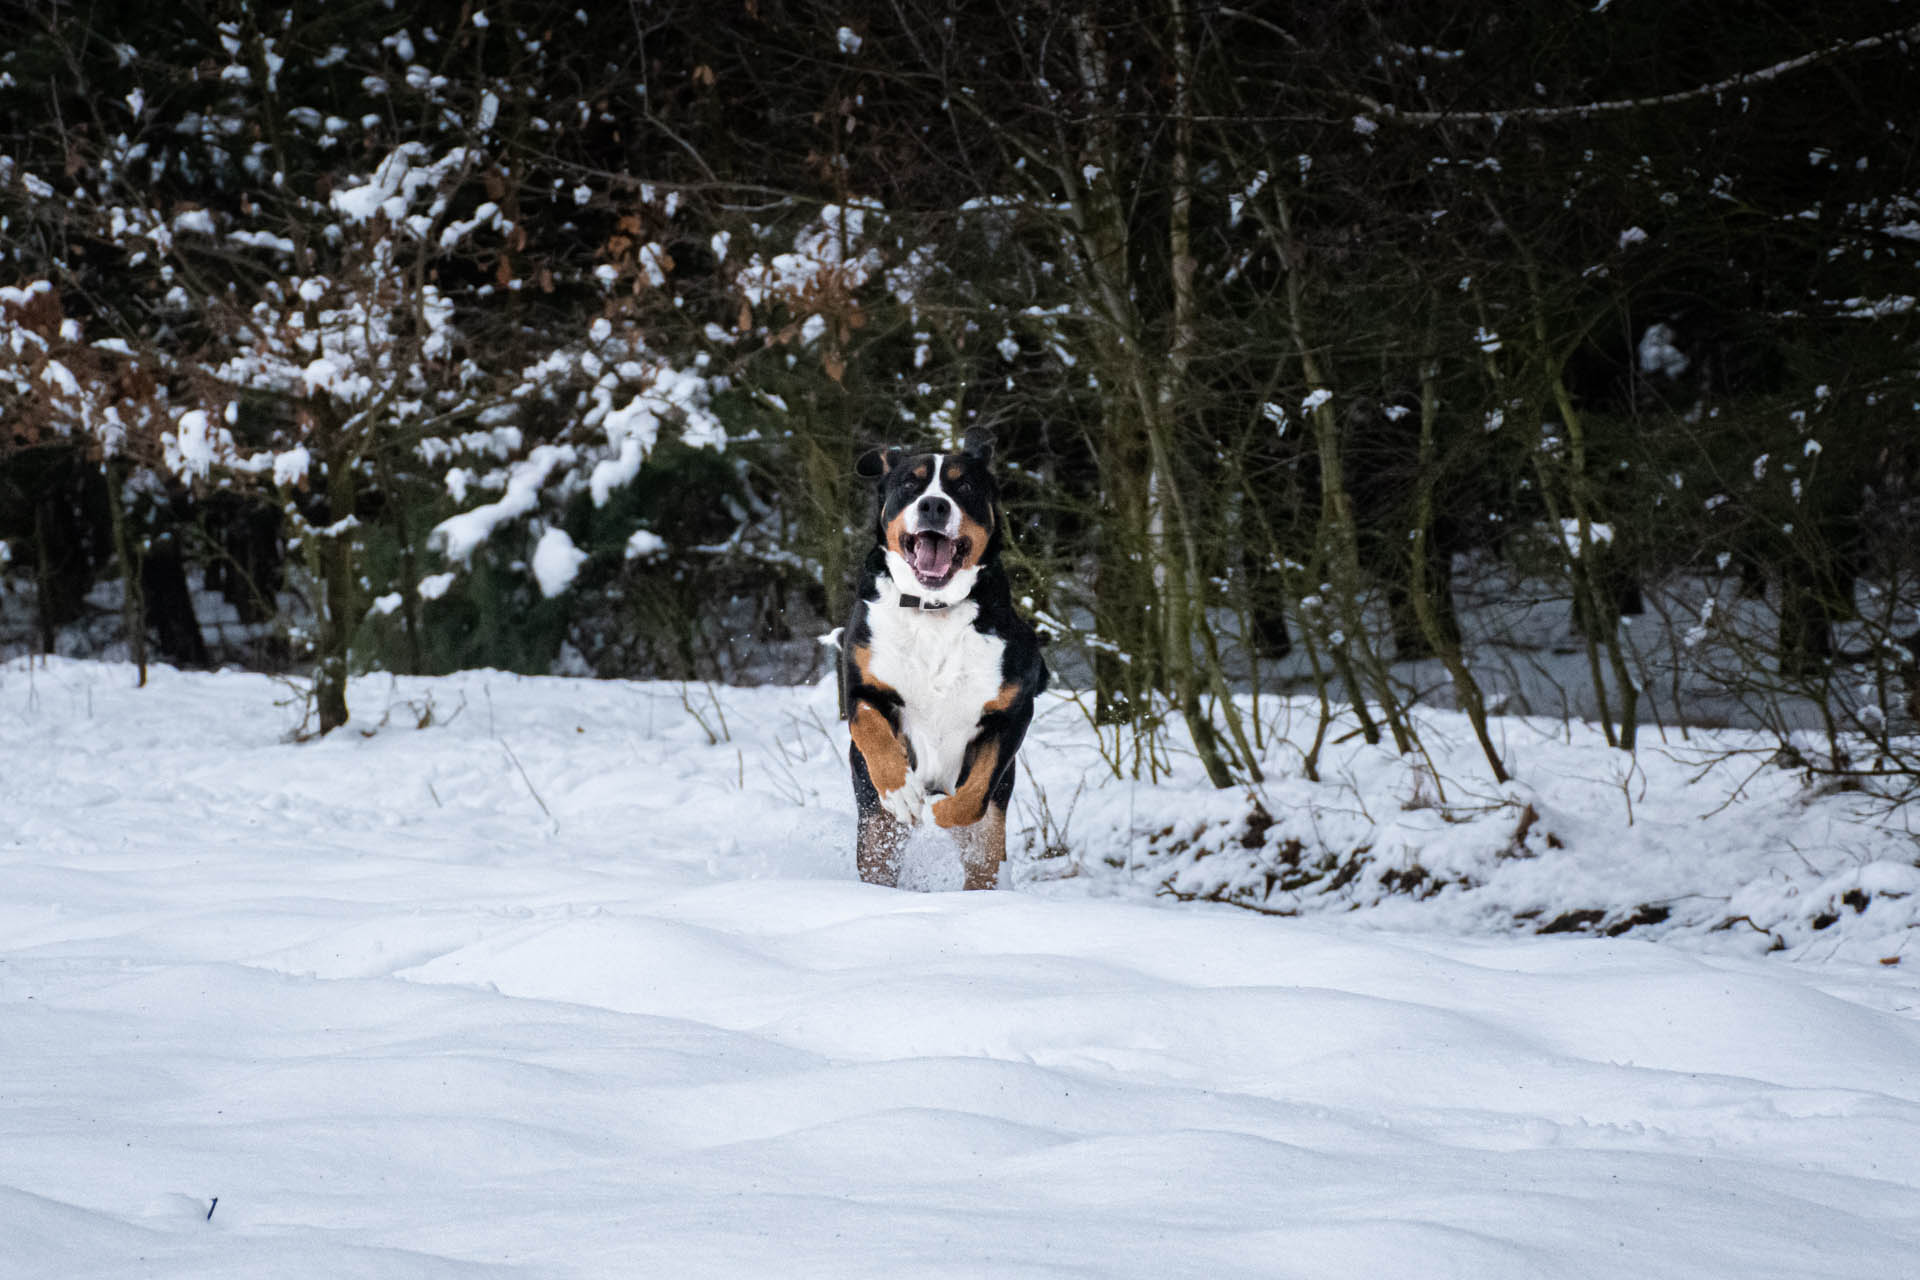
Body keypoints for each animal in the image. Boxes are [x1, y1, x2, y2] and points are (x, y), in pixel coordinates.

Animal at [840, 429, 1052, 890]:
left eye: (964, 486)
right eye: (910, 483)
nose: (934, 505)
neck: (932, 608)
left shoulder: (1011, 711)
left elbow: (975, 795)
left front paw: (942, 815)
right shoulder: (862, 687)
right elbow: (872, 731)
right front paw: (901, 791)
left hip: (989, 841)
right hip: (875, 833)